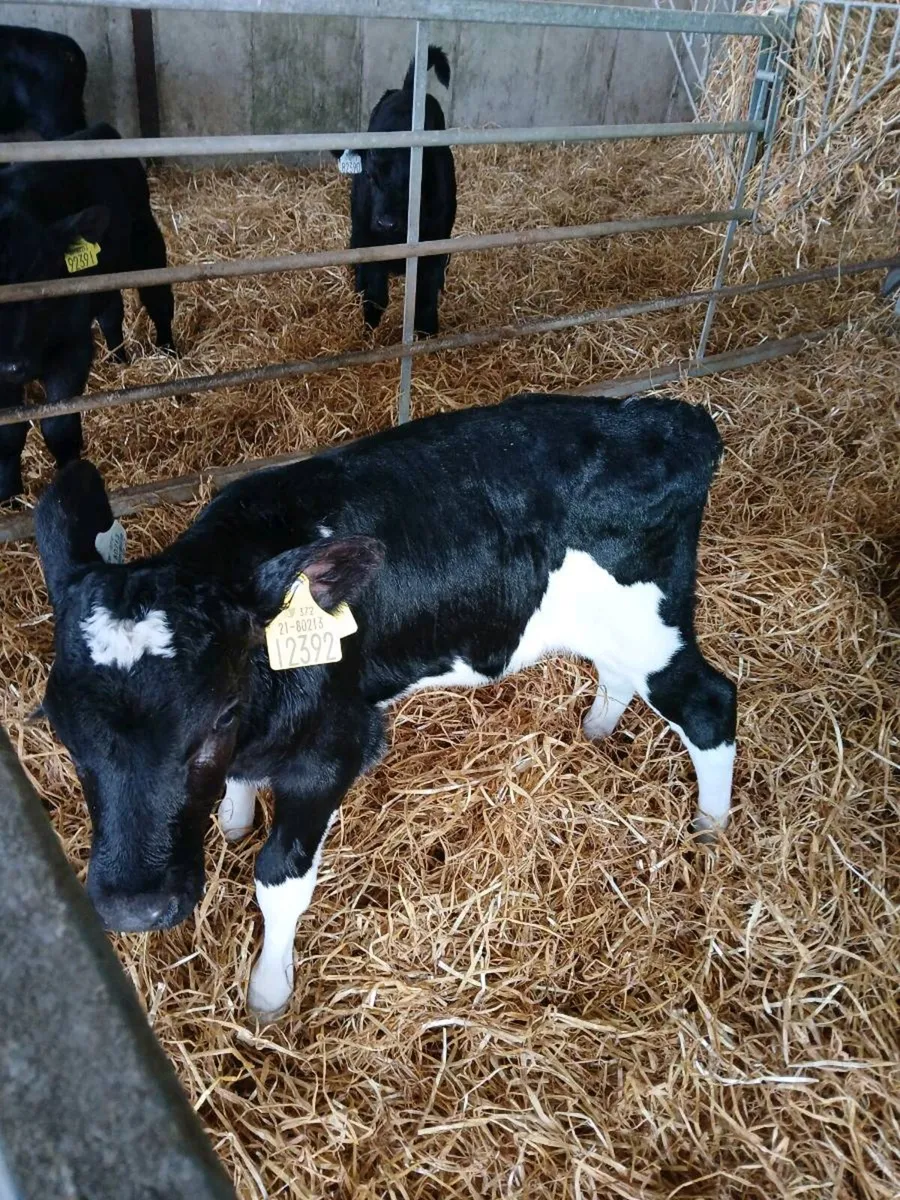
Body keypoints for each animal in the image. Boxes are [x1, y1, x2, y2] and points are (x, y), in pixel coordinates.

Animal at [0, 122, 175, 504]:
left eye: (42, 277)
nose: (11, 366)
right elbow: (8, 433)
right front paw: (8, 496)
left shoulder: (73, 346)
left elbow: (59, 424)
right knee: (111, 314)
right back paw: (119, 360)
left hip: (146, 241)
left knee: (159, 300)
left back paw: (169, 353)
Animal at [34, 393, 737, 1021]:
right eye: (62, 732)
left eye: (221, 715)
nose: (134, 908)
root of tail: (674, 419)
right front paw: (233, 819)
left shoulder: (334, 750)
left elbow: (279, 880)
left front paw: (268, 991)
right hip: (619, 629)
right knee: (621, 674)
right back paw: (597, 728)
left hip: (649, 625)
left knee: (710, 706)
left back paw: (710, 830)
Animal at [338, 44, 456, 336]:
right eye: (370, 175)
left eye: (417, 178)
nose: (386, 222)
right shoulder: (369, 241)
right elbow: (375, 296)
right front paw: (369, 333)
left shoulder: (434, 246)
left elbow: (425, 298)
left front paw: (428, 334)